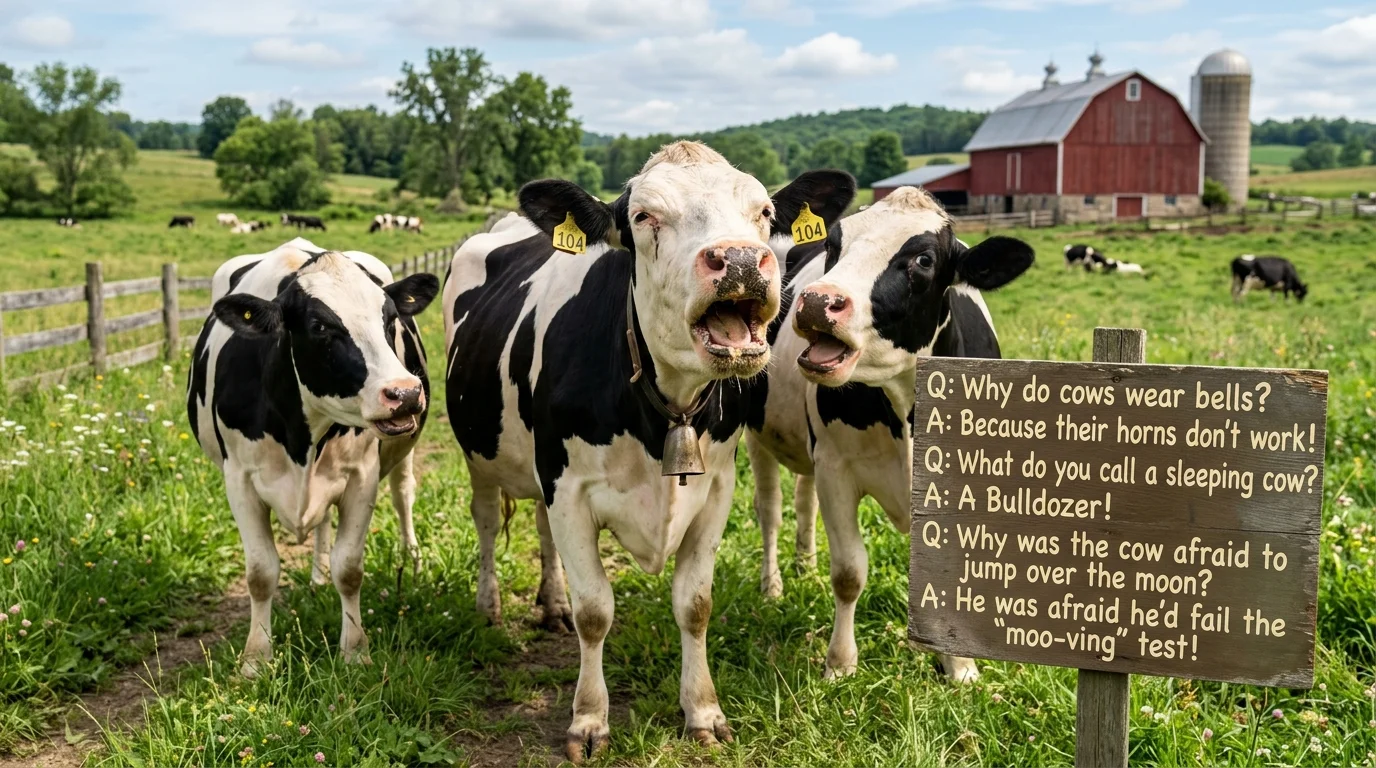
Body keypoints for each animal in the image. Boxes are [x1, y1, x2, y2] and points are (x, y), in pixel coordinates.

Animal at [187, 237, 438, 678]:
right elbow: (260, 573)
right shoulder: (239, 479)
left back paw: (410, 557)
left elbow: (350, 568)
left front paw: (355, 651)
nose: (405, 393)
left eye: (390, 319)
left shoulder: (362, 475)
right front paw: (255, 659)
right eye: (320, 326)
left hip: (400, 449)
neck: (301, 435)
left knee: (403, 493)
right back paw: (317, 575)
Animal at [443, 140, 853, 763]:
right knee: (488, 521)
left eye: (763, 212)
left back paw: (550, 604)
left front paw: (703, 711)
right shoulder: (568, 488)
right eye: (643, 216)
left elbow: (695, 604)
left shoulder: (715, 488)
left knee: (539, 531)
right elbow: (595, 611)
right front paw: (588, 721)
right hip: (480, 453)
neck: (666, 407)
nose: (739, 259)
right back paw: (490, 606)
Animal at [745, 186, 1034, 684]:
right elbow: (849, 573)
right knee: (771, 512)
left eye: (923, 260)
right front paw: (840, 663)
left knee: (803, 500)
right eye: (835, 244)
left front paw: (959, 666)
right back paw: (774, 585)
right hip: (755, 435)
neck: (908, 410)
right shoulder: (837, 468)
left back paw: (805, 566)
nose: (817, 301)